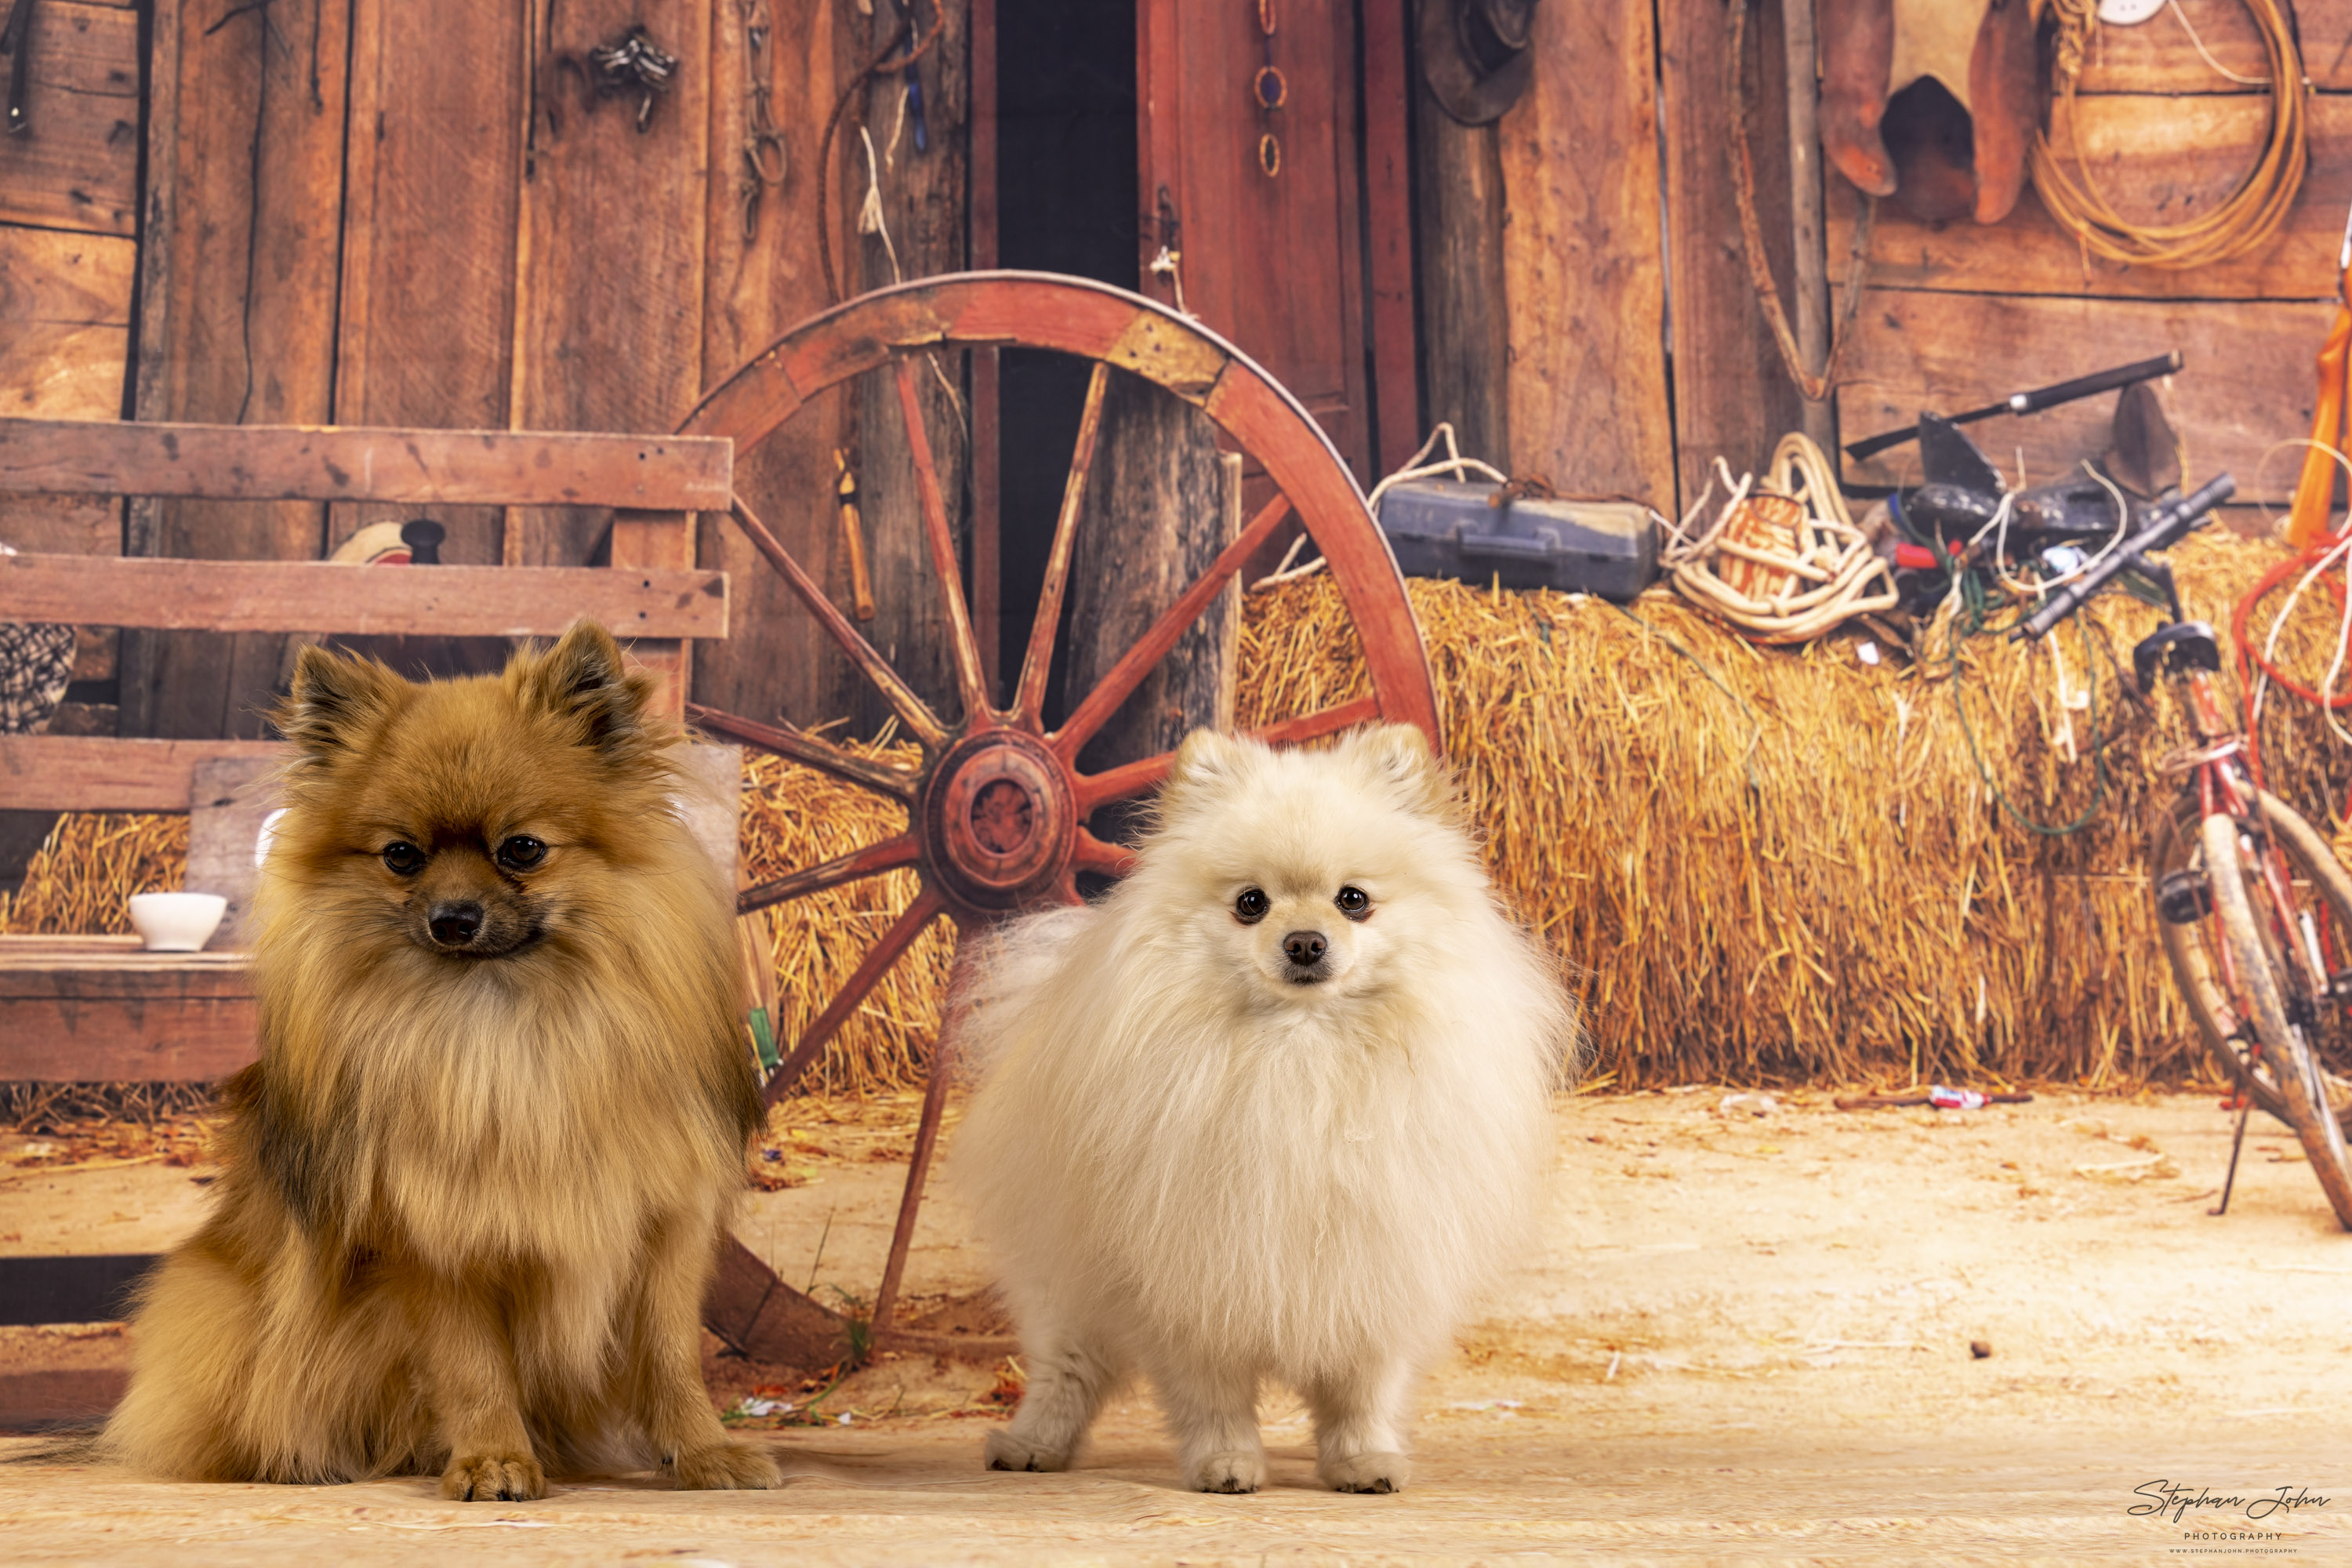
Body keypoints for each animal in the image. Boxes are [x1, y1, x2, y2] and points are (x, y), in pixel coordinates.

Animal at [96, 620, 776, 1504]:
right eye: (402, 856)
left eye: (522, 849)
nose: (453, 918)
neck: (500, 1028)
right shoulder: (431, 1239)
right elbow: (472, 1365)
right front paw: (491, 1459)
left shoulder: (664, 1227)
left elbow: (671, 1360)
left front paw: (703, 1451)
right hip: (220, 1303)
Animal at [946, 724, 1571, 1495]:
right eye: (1252, 903)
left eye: (1353, 899)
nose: (1305, 942)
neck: (1300, 1057)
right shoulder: (1193, 1279)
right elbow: (1211, 1395)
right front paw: (1226, 1464)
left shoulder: (1375, 1266)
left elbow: (1363, 1389)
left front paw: (1363, 1460)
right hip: (1072, 1279)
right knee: (1067, 1369)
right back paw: (1032, 1445)